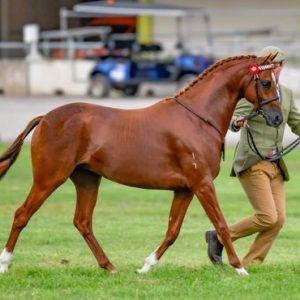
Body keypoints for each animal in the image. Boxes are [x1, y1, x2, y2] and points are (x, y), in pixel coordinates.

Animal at [0, 54, 282, 274]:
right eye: (266, 82)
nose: (277, 118)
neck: (197, 119)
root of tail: (45, 117)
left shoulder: (185, 189)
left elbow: (173, 230)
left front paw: (146, 265)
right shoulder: (202, 184)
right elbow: (220, 224)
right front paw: (239, 268)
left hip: (87, 179)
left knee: (83, 221)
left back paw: (110, 267)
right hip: (49, 178)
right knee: (22, 214)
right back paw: (5, 263)